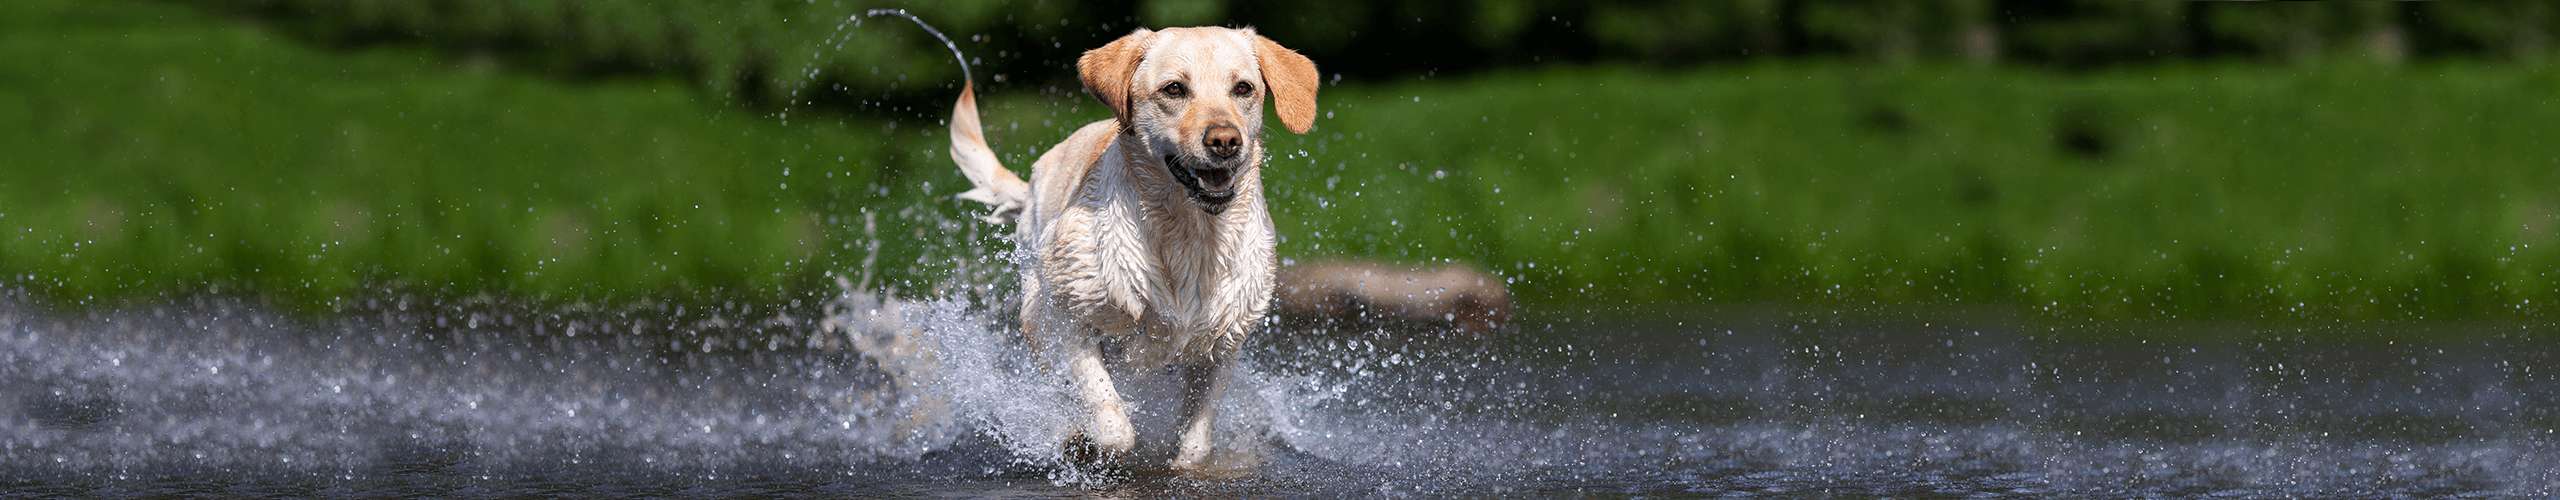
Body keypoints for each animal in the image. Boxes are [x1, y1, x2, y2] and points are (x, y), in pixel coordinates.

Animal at [952, 27, 1331, 471]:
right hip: (1035, 309)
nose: (1225, 141)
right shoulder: (1069, 316)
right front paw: (1086, 442)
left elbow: (1196, 444)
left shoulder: (1222, 344)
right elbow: (1111, 422)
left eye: (1243, 88)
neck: (1189, 233)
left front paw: (1184, 462)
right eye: (1174, 89)